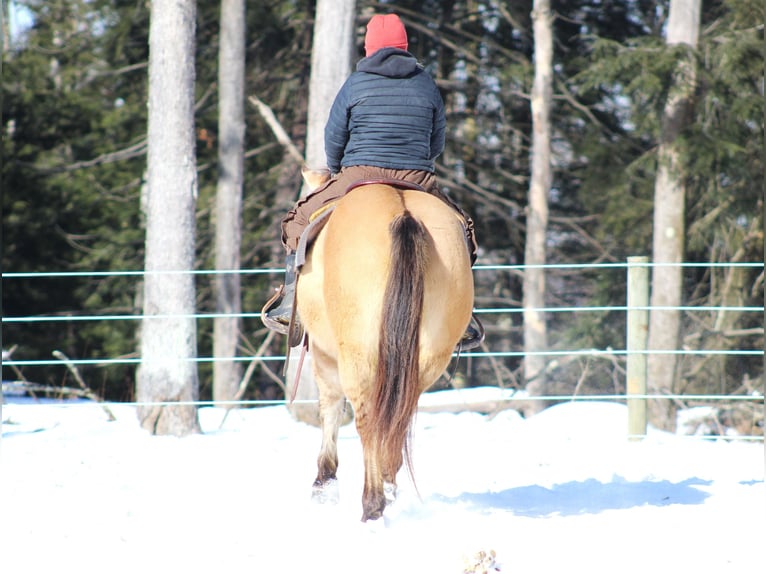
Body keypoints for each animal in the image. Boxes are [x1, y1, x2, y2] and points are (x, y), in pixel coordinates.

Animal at [296, 171, 476, 520]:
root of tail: (403, 214)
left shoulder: (323, 354)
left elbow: (330, 408)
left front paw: (324, 484)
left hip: (356, 354)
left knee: (368, 420)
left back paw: (372, 504)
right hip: (428, 358)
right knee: (398, 418)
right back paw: (389, 489)